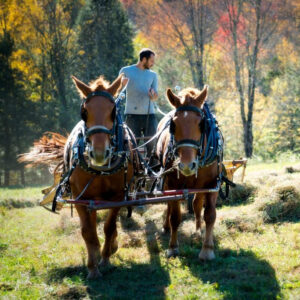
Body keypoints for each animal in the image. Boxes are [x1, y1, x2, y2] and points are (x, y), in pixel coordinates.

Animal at [156, 85, 221, 260]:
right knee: (170, 205)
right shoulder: (172, 183)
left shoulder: (212, 184)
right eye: (173, 125)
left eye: (201, 124)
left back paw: (198, 231)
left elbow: (210, 215)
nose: (186, 165)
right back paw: (166, 226)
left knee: (197, 205)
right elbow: (175, 216)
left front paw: (207, 249)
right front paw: (173, 247)